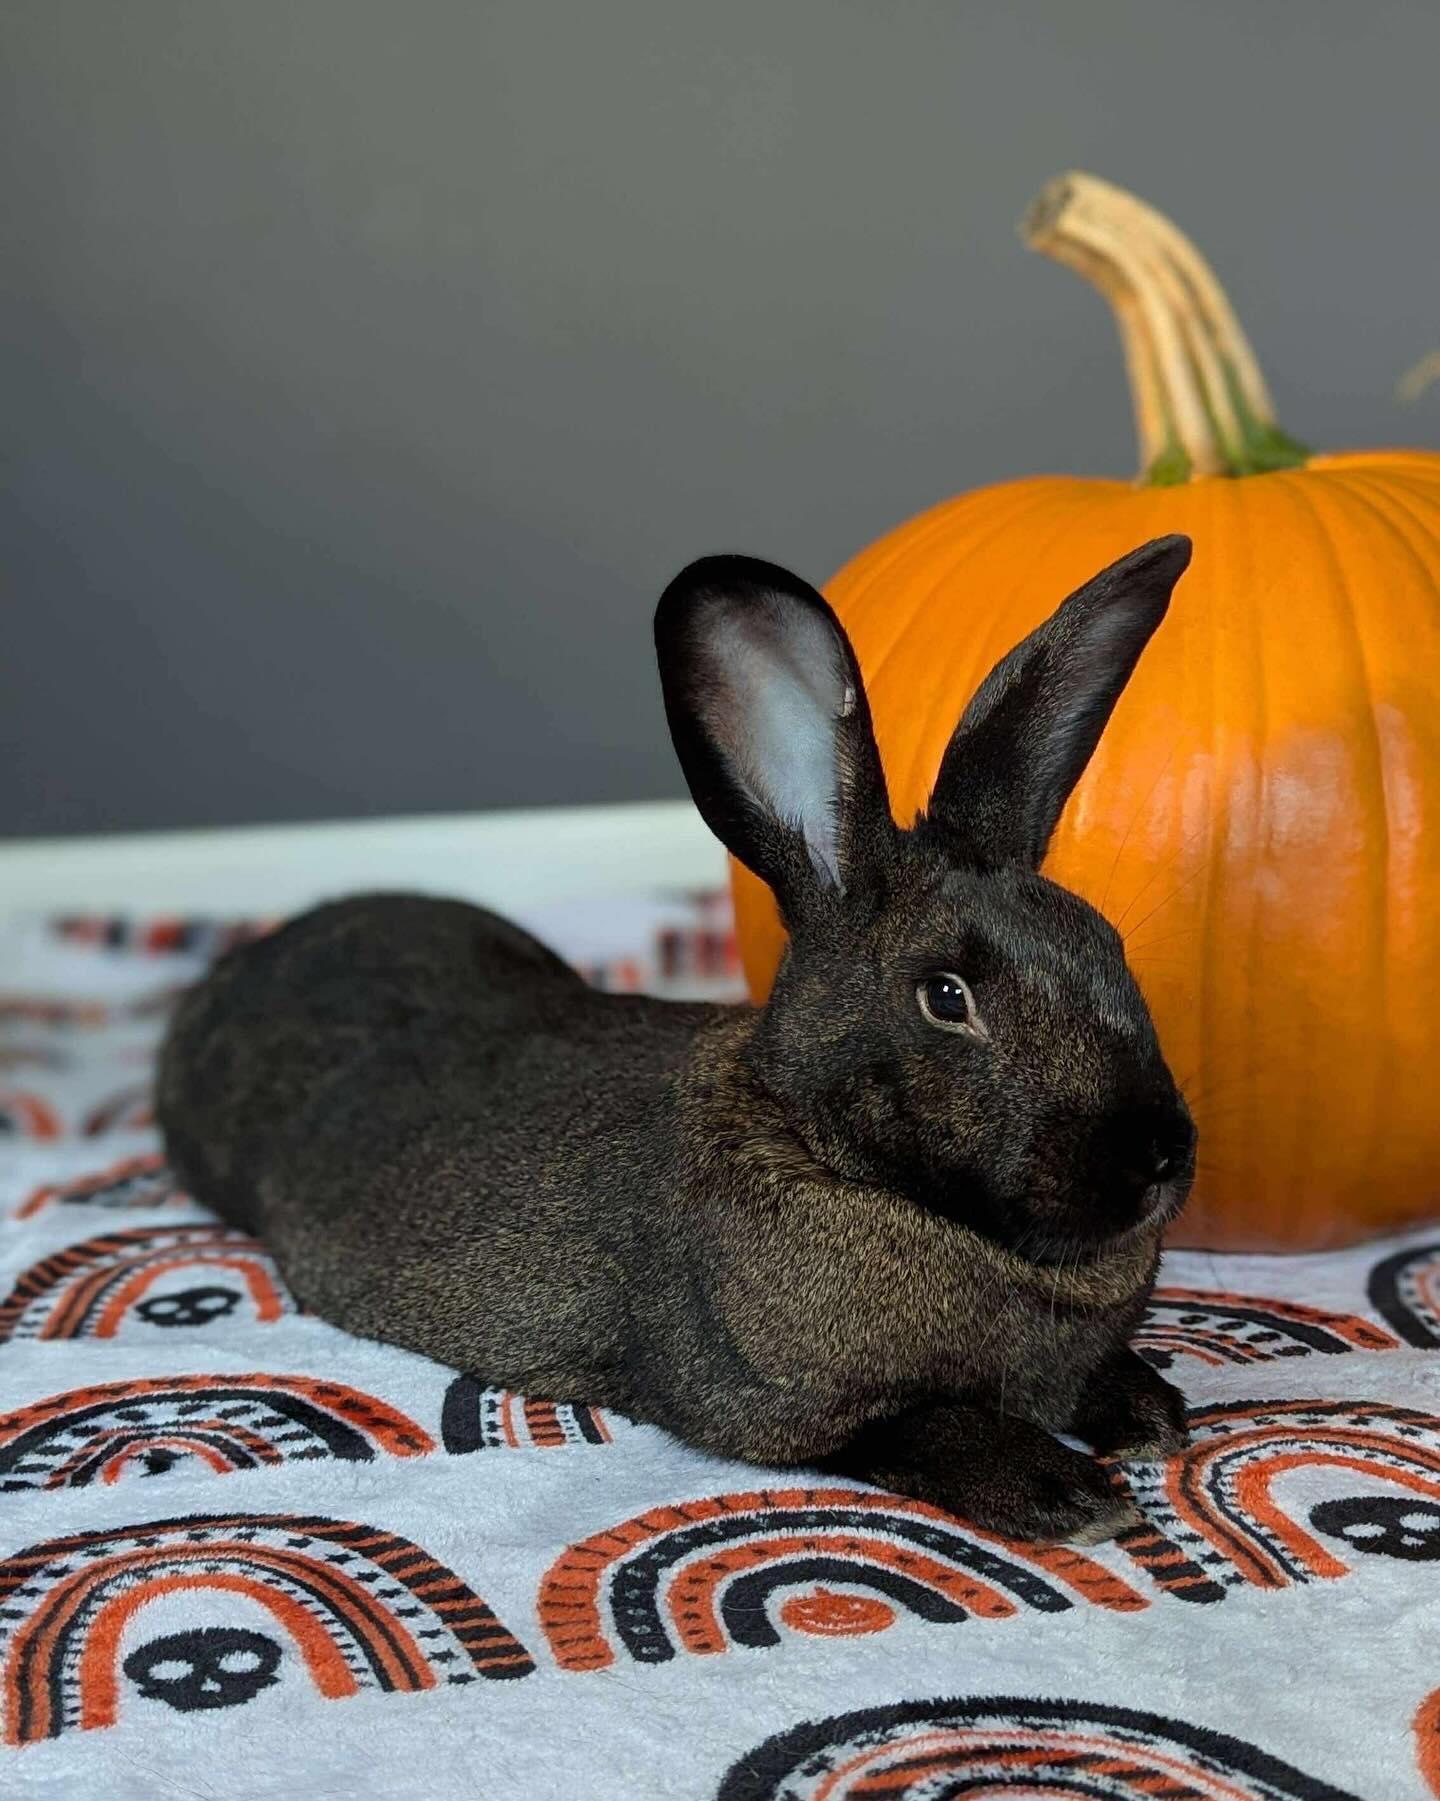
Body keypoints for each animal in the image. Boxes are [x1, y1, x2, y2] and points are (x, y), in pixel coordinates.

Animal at [158, 533, 1197, 1544]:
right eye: (947, 996)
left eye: (1104, 944)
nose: (1159, 1157)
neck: (823, 1149)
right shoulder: (787, 1404)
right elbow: (929, 1424)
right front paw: (1071, 1493)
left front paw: (1155, 1415)